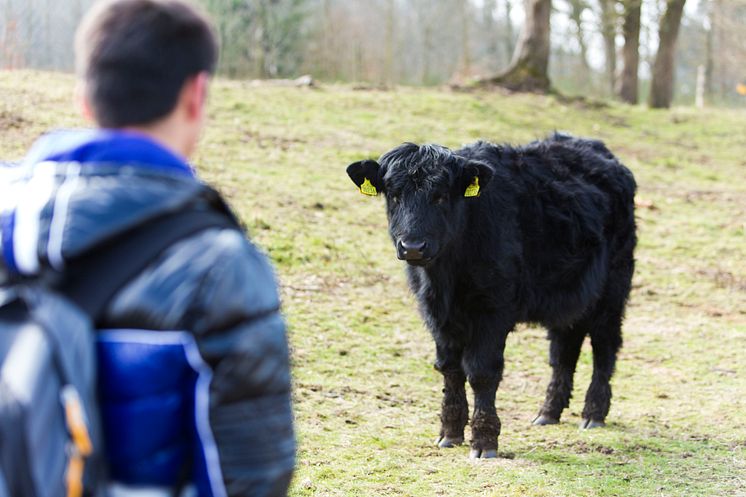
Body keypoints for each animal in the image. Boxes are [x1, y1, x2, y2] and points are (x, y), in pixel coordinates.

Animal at [348, 134, 632, 460]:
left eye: (441, 196)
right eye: (394, 195)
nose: (413, 247)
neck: (447, 276)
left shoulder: (493, 310)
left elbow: (481, 372)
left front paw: (484, 441)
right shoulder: (436, 313)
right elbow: (450, 369)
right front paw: (450, 433)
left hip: (612, 290)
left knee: (604, 346)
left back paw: (594, 413)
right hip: (570, 294)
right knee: (564, 350)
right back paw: (548, 412)